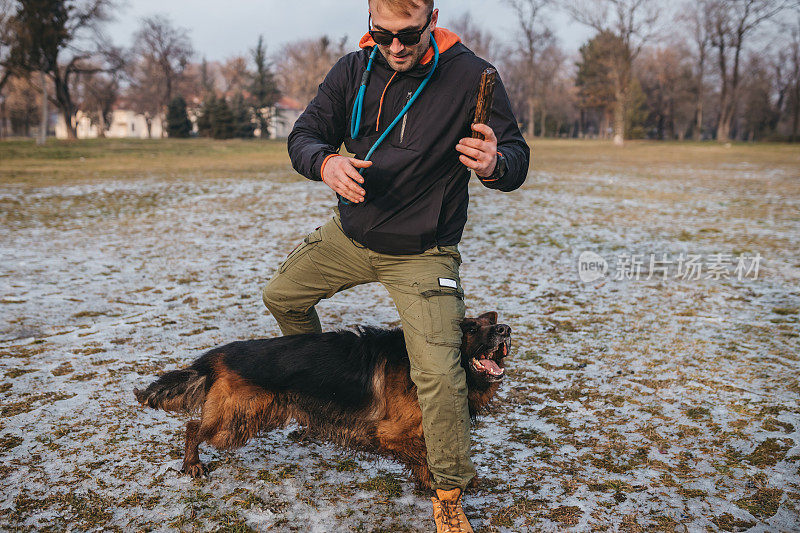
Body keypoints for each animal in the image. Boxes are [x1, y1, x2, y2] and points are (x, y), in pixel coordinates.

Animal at [134, 310, 510, 484]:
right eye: (471, 329)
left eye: (489, 324)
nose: (504, 329)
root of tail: (217, 356)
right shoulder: (391, 434)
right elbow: (424, 457)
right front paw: (441, 485)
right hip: (236, 420)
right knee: (193, 427)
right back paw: (192, 464)